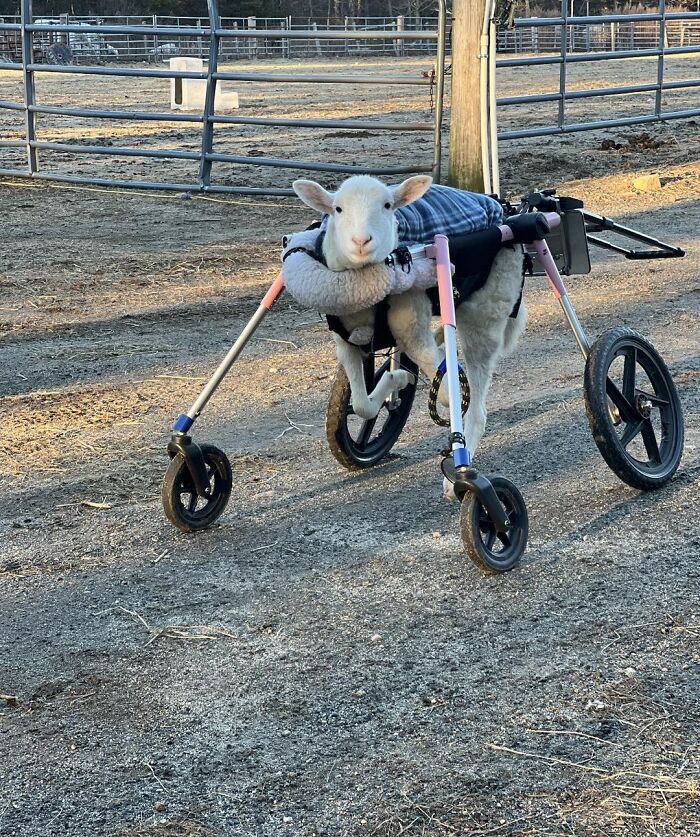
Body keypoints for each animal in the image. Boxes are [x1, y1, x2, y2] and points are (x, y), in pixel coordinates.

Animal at [291, 175, 526, 492]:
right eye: (337, 209)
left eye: (388, 206)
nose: (361, 241)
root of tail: (504, 210)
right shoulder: (347, 342)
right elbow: (361, 405)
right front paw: (397, 379)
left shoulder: (412, 325)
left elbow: (447, 395)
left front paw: (402, 378)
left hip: (487, 310)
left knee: (476, 404)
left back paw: (456, 482)